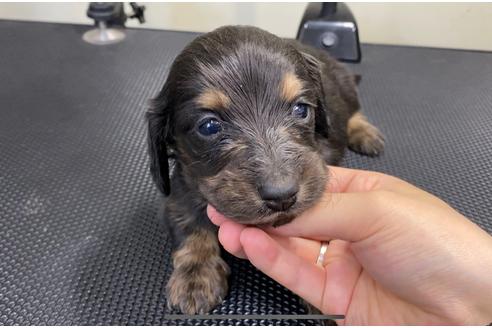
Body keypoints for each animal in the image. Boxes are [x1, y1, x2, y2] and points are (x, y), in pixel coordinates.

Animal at [146, 25, 384, 312]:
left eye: (301, 109)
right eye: (209, 126)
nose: (282, 196)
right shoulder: (181, 191)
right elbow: (191, 226)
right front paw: (196, 277)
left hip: (345, 88)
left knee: (354, 110)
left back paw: (364, 132)